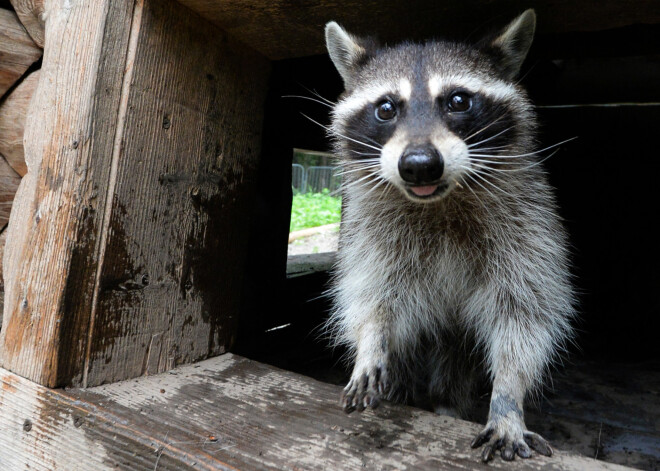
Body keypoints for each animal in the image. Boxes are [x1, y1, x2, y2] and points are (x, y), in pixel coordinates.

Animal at [324, 9, 572, 462]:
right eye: (386, 108)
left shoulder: (530, 226)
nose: (420, 164)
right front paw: (370, 340)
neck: (439, 202)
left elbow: (525, 315)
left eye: (458, 101)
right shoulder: (368, 231)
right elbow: (370, 292)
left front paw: (508, 397)